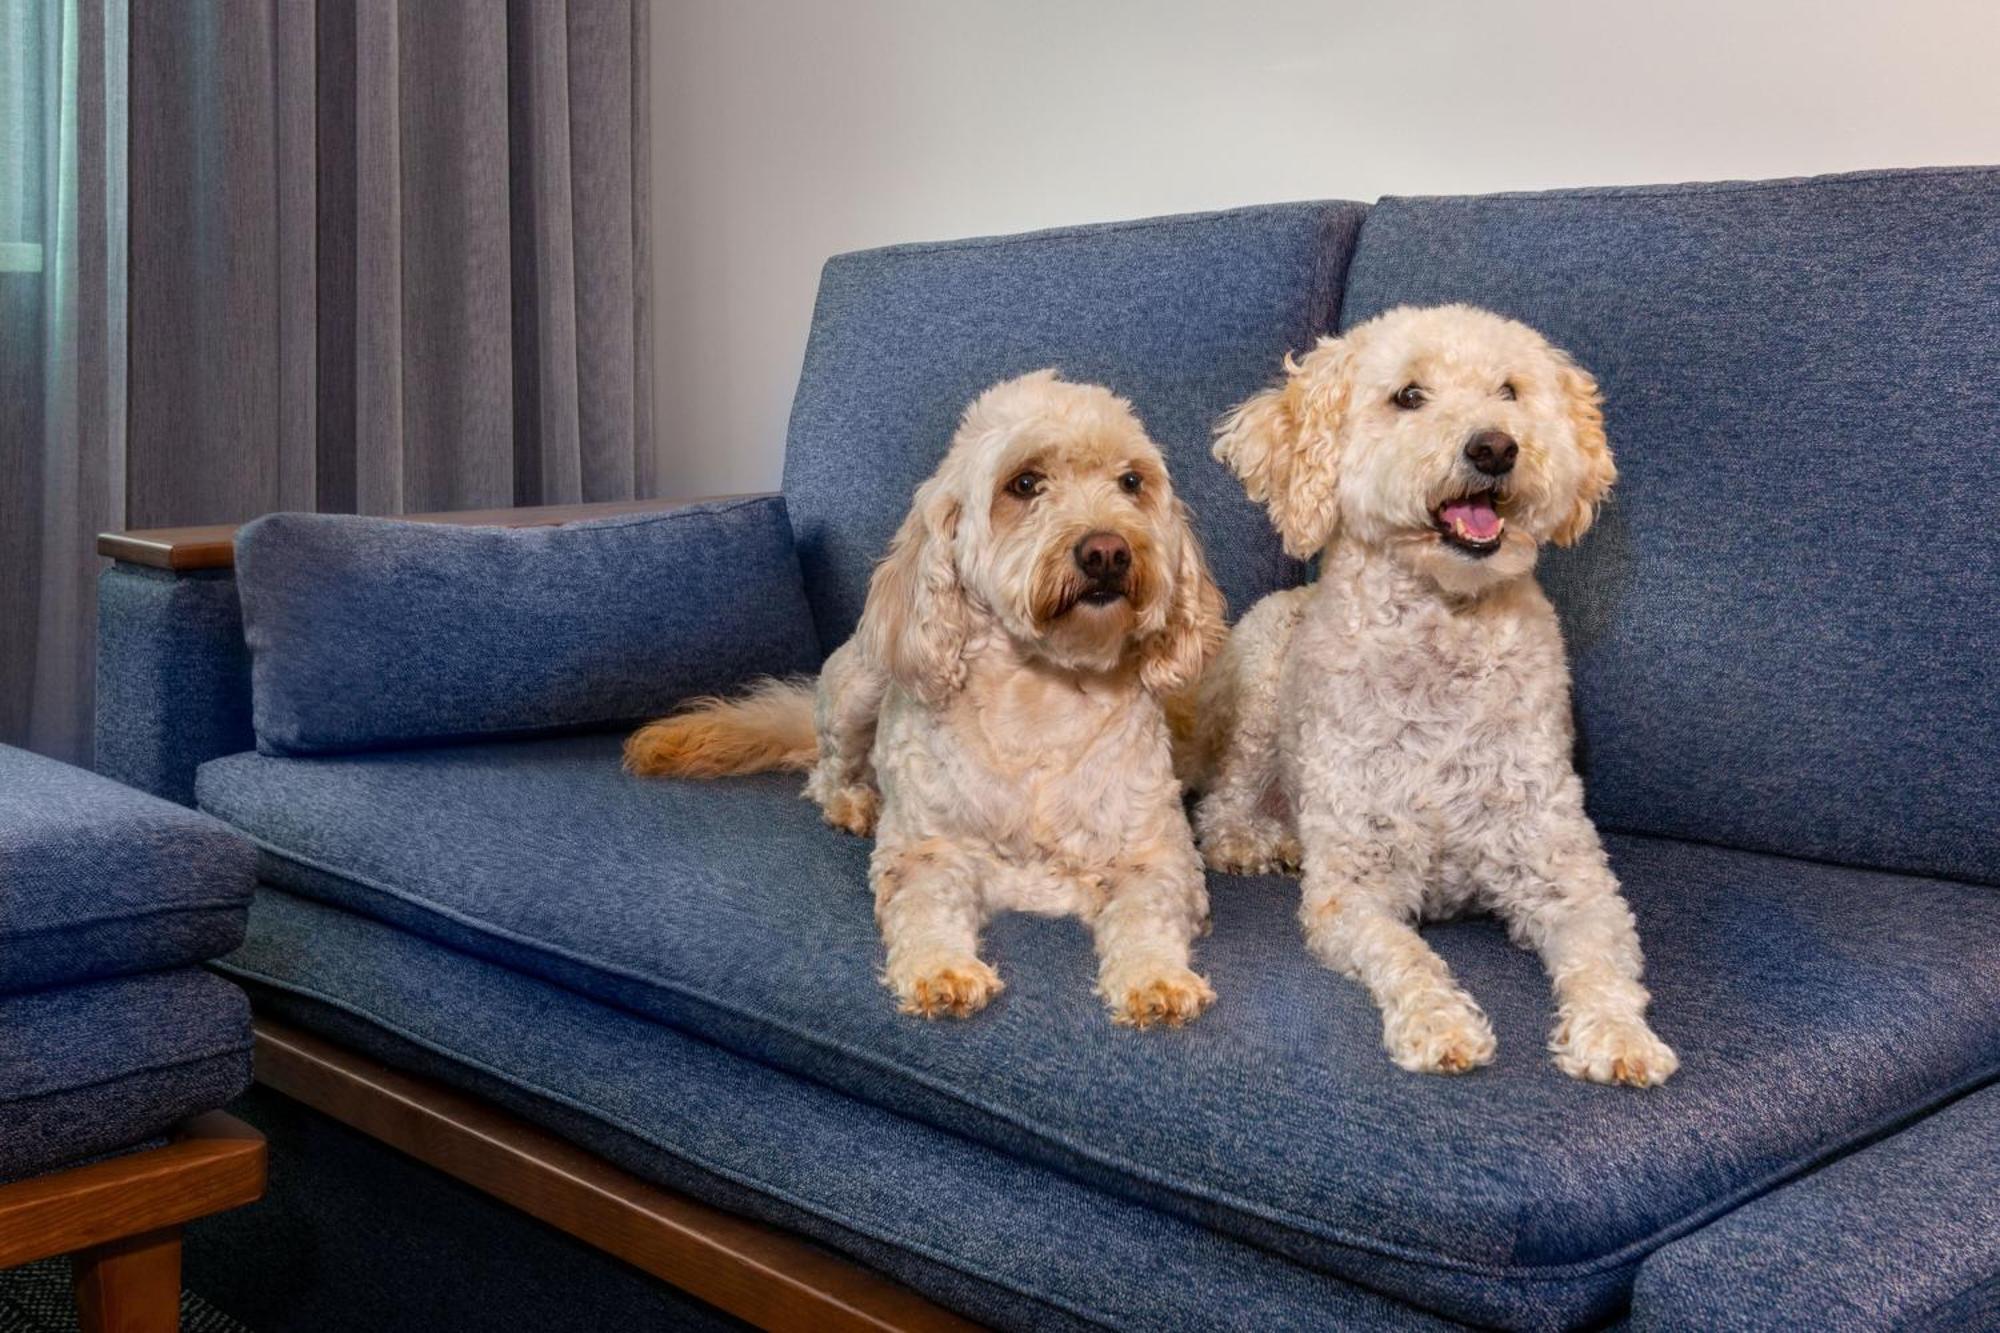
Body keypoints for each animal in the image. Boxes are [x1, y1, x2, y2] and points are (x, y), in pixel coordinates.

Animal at [624, 368, 1224, 1020]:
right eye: (1024, 484)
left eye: (1131, 482)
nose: (1108, 550)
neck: (1043, 695)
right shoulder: (927, 850)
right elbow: (925, 905)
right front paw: (940, 967)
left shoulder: (1162, 856)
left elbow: (1147, 912)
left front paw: (1155, 977)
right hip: (858, 690)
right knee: (825, 771)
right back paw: (853, 802)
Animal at [1192, 306, 1680, 1088]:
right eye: (1409, 396)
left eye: (1509, 391)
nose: (1495, 446)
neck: (1442, 631)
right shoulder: (1356, 885)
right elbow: (1405, 954)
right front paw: (1439, 1022)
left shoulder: (1568, 871)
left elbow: (1602, 958)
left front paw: (1617, 1034)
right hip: (1260, 684)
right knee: (1225, 803)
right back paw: (1258, 840)